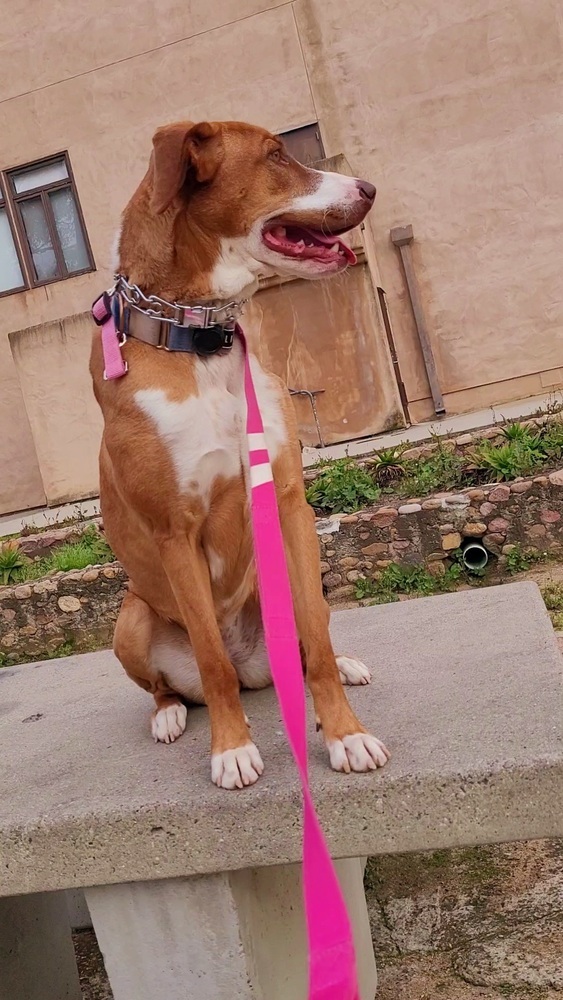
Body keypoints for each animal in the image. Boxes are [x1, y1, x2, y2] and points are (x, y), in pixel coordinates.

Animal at [91, 119, 392, 788]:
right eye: (277, 155)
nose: (370, 187)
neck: (202, 341)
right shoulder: (175, 532)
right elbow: (210, 662)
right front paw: (231, 749)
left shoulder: (289, 503)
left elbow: (316, 639)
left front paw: (346, 734)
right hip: (130, 621)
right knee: (181, 682)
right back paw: (170, 714)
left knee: (310, 639)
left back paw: (345, 662)